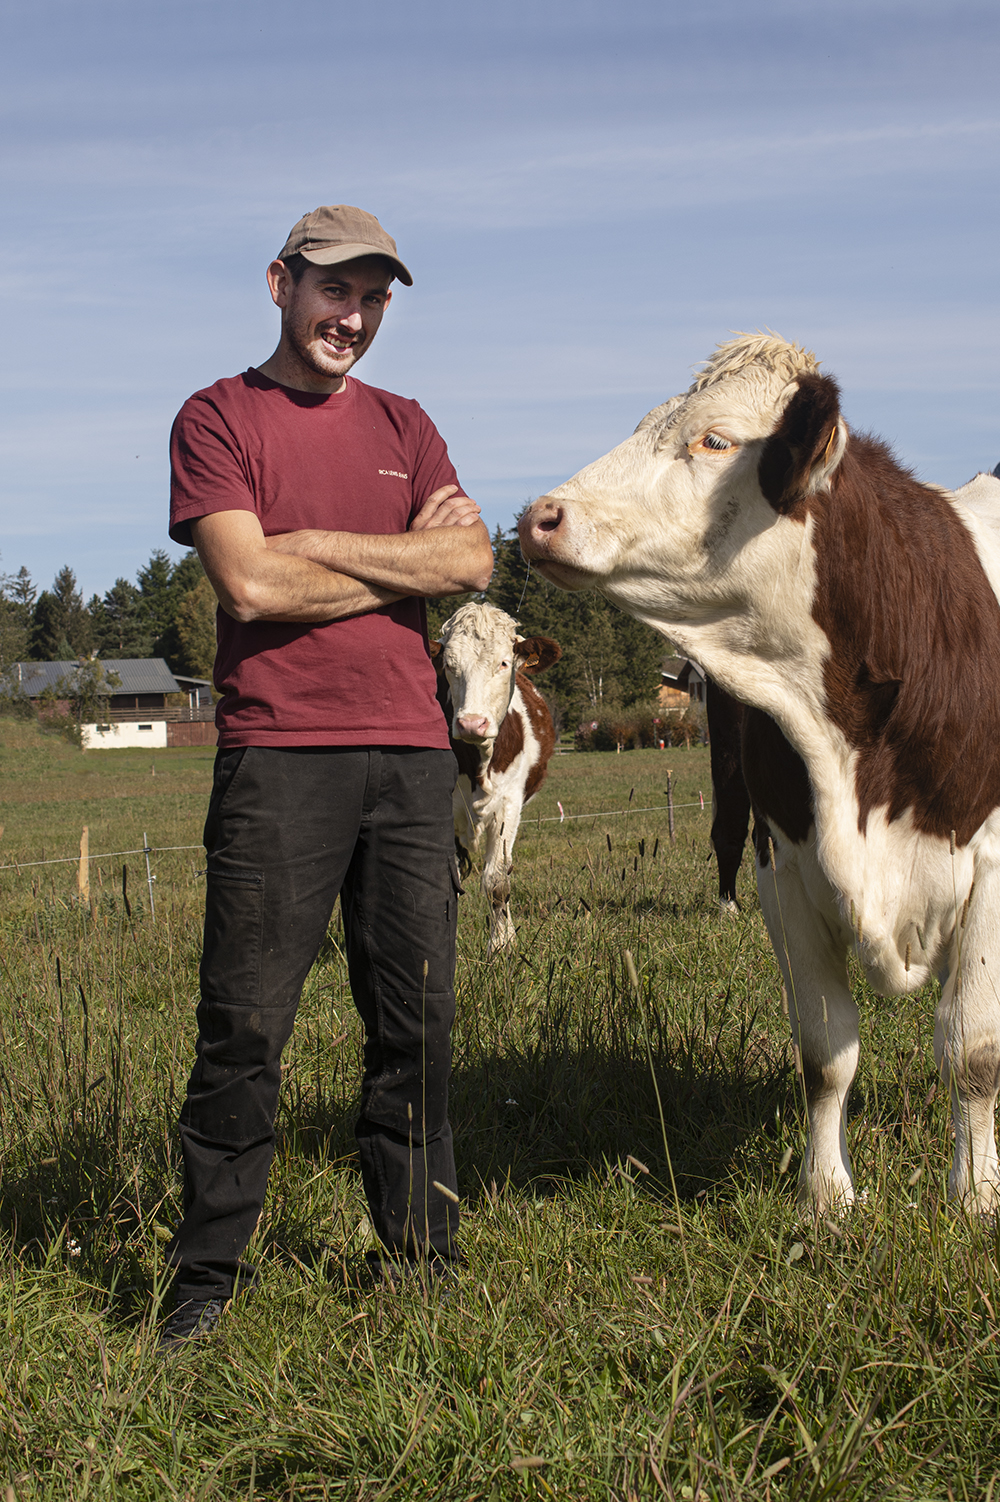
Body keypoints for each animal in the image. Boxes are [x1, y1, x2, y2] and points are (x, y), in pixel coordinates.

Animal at [429, 603, 561, 955]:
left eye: (503, 662)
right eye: (448, 666)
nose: (472, 723)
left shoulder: (509, 804)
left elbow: (497, 879)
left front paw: (502, 945)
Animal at [516, 334, 996, 1213]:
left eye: (715, 439)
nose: (541, 517)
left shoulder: (991, 866)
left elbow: (974, 1052)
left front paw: (976, 1197)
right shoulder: (786, 867)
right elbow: (825, 1051)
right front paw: (826, 1197)